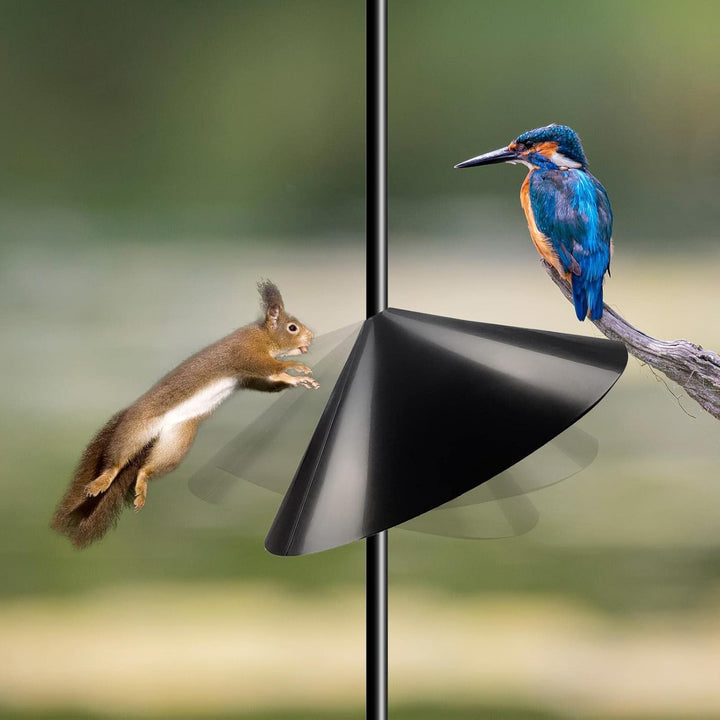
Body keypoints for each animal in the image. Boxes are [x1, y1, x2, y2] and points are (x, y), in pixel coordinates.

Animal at [51, 280, 318, 549]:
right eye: (292, 327)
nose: (312, 337)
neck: (263, 335)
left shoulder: (248, 377)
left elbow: (268, 381)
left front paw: (297, 380)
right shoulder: (245, 351)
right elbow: (268, 366)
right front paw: (295, 368)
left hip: (177, 443)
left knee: (145, 469)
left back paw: (142, 487)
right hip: (135, 429)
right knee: (117, 461)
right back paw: (101, 482)